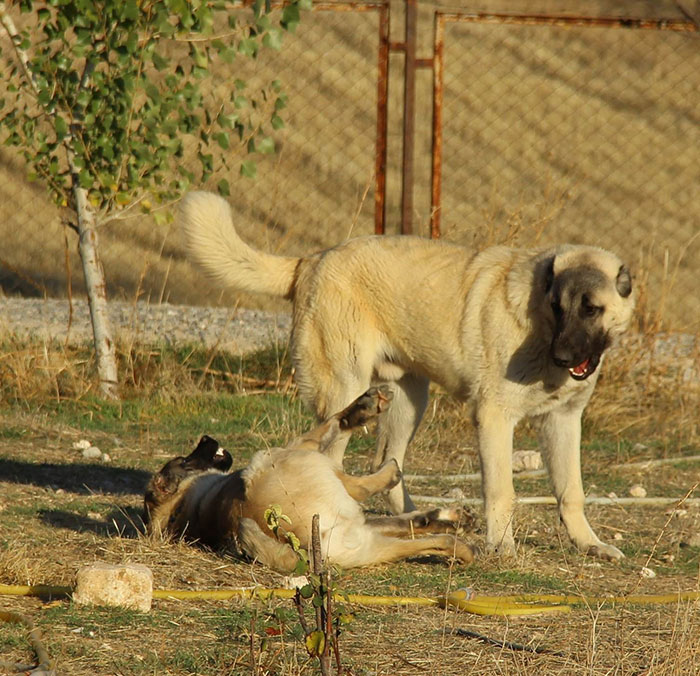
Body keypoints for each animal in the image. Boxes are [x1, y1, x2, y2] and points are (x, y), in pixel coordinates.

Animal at [144, 388, 476, 572]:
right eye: (184, 460)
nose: (206, 437)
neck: (188, 506)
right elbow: (331, 429)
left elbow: (401, 522)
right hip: (280, 458)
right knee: (356, 481)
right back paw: (390, 472)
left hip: (363, 546)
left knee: (423, 540)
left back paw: (456, 540)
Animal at [179, 190, 636, 560]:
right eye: (558, 307)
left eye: (590, 308)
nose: (563, 356)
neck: (537, 319)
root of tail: (312, 259)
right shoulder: (494, 419)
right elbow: (502, 491)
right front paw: (503, 546)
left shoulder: (563, 421)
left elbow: (571, 492)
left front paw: (589, 543)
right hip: (347, 384)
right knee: (336, 450)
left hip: (409, 402)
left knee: (386, 461)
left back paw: (421, 516)